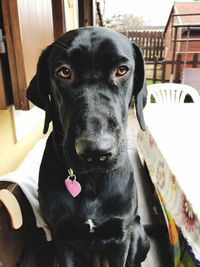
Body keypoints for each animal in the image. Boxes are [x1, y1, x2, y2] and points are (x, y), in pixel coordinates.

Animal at [26, 26, 149, 266]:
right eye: (64, 72)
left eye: (122, 70)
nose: (96, 151)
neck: (91, 180)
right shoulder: (61, 238)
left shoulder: (121, 236)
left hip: (137, 232)